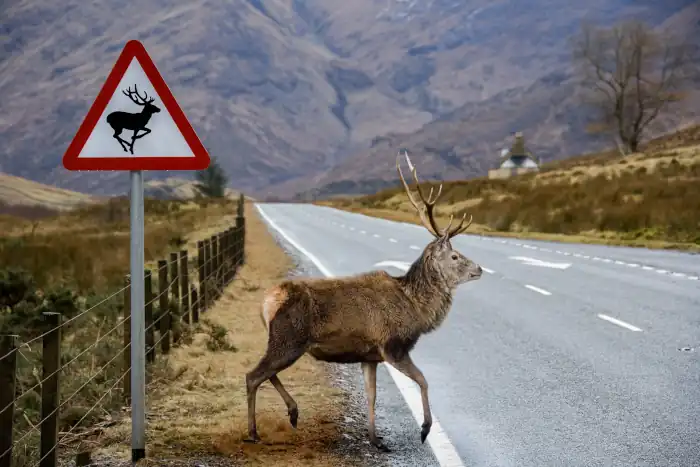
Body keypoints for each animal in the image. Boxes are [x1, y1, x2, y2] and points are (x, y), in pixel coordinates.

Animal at [245, 150, 483, 452]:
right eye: (454, 256)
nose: (480, 269)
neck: (416, 309)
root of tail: (266, 302)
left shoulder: (369, 355)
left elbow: (372, 395)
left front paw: (374, 438)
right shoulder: (393, 345)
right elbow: (423, 380)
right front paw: (425, 429)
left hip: (281, 341)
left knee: (264, 372)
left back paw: (293, 411)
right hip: (289, 339)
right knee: (252, 375)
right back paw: (254, 431)